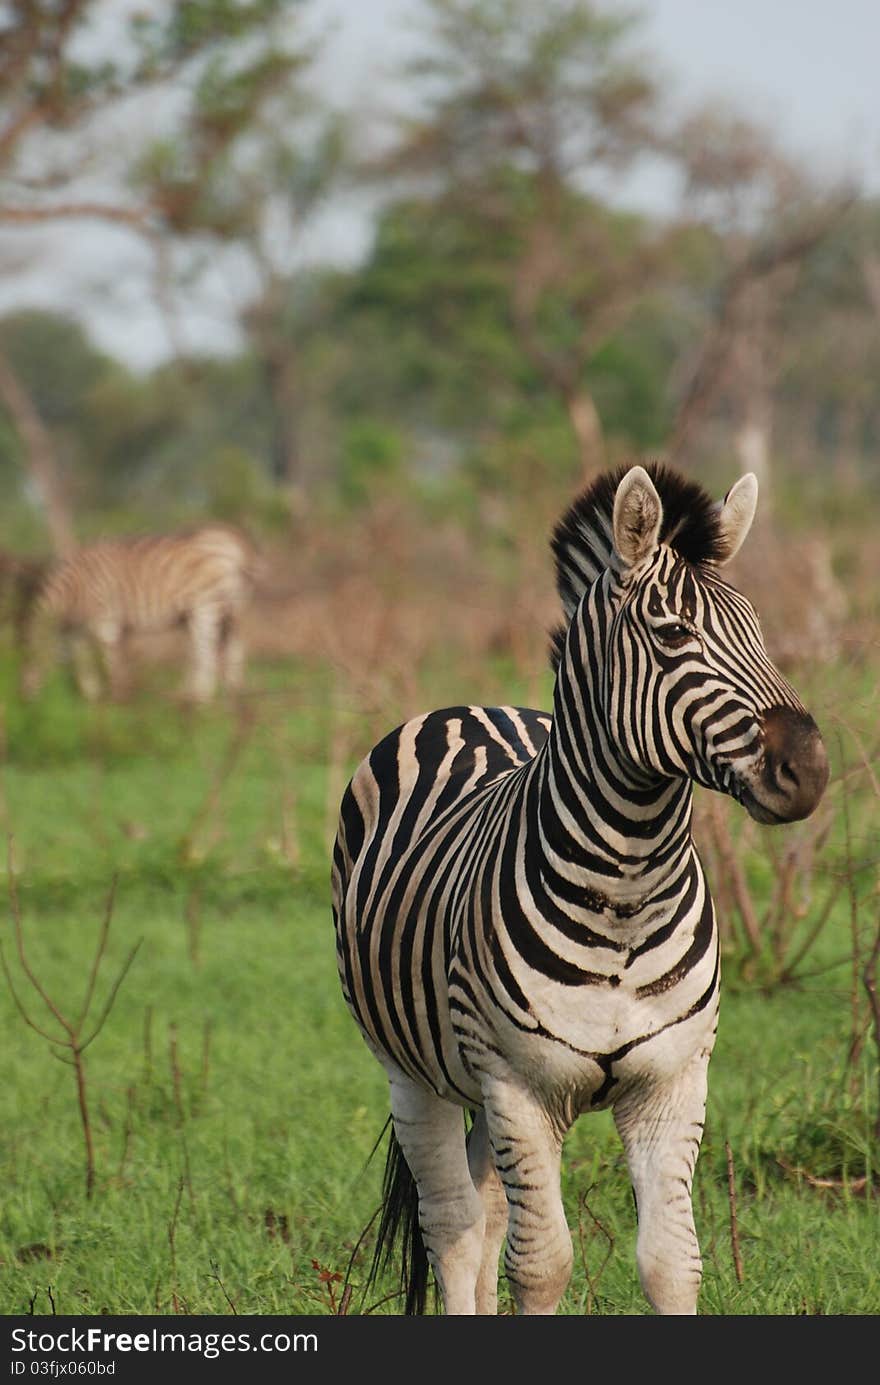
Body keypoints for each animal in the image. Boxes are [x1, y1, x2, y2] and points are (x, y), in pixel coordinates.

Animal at [20, 523, 261, 709]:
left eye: (28, 661)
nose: (25, 703)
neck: (74, 590)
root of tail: (234, 539)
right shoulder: (82, 629)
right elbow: (86, 660)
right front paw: (94, 698)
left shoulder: (106, 621)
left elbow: (112, 661)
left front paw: (118, 703)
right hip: (232, 609)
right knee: (234, 649)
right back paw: (234, 702)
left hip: (206, 607)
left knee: (206, 655)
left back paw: (200, 704)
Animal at [333, 459, 831, 1312]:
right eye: (673, 635)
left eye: (760, 633)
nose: (809, 768)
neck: (626, 889)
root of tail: (470, 707)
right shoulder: (518, 1086)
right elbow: (543, 1264)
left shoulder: (673, 1083)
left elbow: (671, 1259)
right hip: (412, 1069)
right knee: (453, 1222)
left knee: (486, 1212)